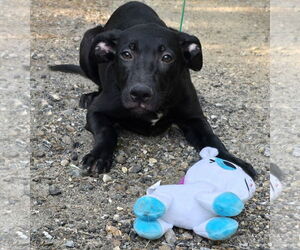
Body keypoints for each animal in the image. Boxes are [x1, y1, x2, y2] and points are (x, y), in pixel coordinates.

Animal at [50, 1, 256, 178]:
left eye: (167, 57)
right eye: (126, 54)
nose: (140, 93)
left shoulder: (194, 118)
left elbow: (212, 139)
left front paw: (234, 161)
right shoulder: (96, 112)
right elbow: (106, 132)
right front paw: (99, 156)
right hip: (89, 39)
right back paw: (90, 96)